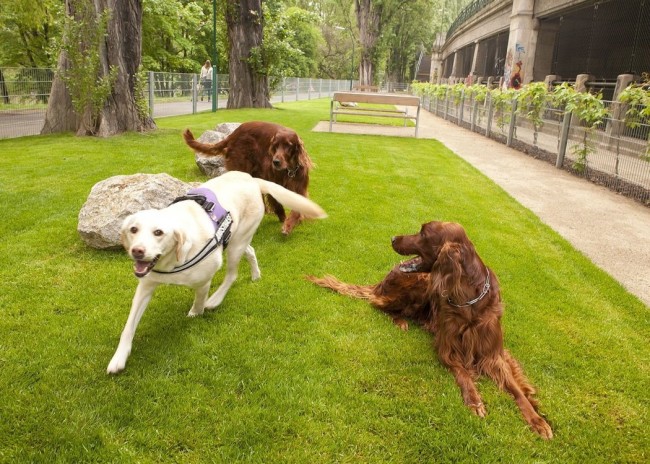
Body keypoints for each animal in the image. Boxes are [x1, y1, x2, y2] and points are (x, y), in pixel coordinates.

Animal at [182, 120, 314, 236]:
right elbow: (278, 205)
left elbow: (297, 209)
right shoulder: (272, 182)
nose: (275, 162)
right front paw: (285, 222)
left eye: (288, 146)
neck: (289, 170)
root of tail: (233, 134)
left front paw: (290, 223)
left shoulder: (300, 187)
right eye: (275, 146)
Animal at [306, 221, 548, 438]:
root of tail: (382, 281)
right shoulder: (448, 349)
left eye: (423, 233)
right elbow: (463, 373)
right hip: (419, 282)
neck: (469, 299)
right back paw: (400, 321)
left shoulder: (492, 353)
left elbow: (515, 388)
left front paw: (537, 418)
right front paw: (474, 400)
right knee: (378, 304)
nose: (392, 238)